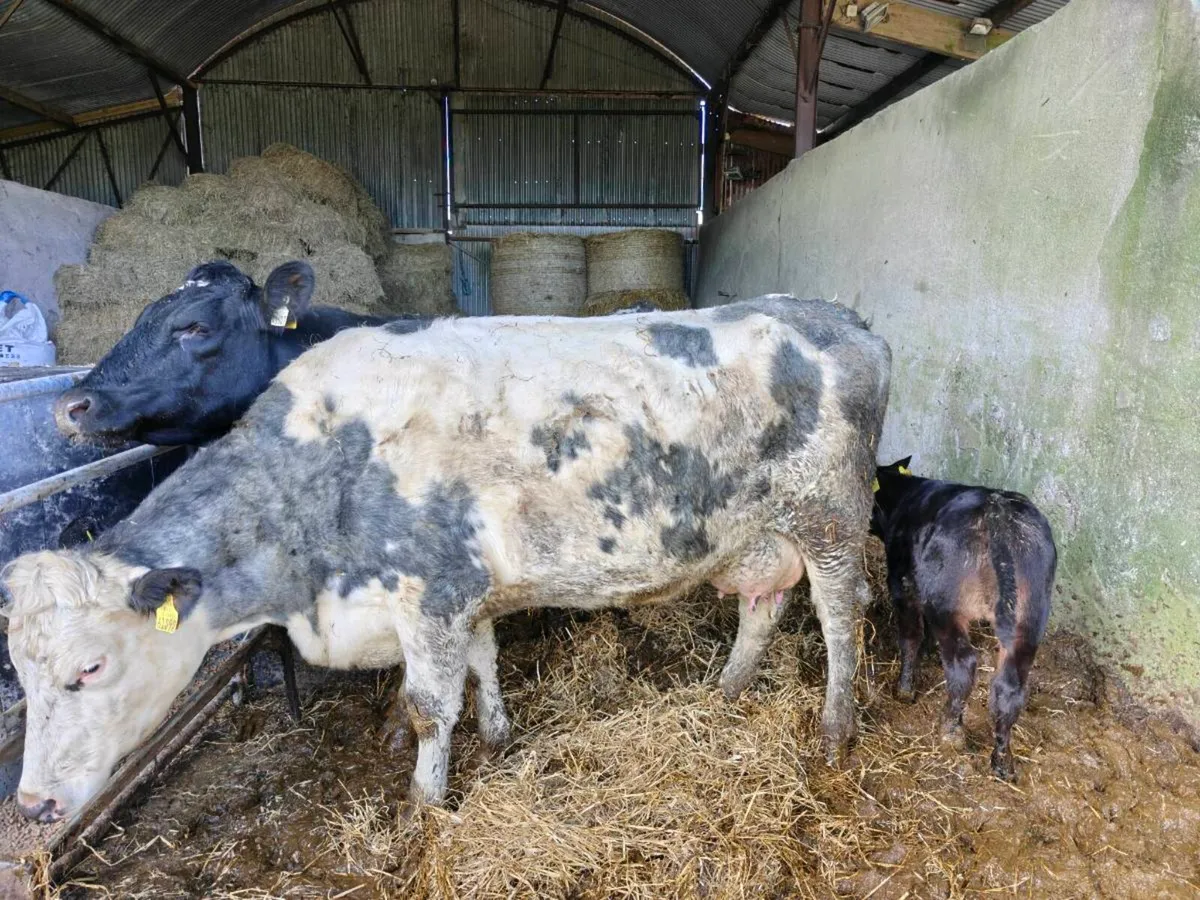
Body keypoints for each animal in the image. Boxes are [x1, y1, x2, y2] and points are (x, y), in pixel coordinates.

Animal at [4, 291, 890, 820]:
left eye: (88, 667)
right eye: (19, 672)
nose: (34, 805)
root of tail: (831, 313)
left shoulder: (426, 591)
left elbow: (429, 705)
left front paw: (426, 807)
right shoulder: (466, 590)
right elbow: (484, 660)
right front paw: (497, 732)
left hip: (832, 520)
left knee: (840, 622)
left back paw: (836, 728)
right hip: (760, 534)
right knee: (762, 608)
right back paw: (727, 690)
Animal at [869, 457, 1056, 781]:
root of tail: (998, 512)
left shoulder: (902, 583)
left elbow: (910, 637)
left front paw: (905, 689)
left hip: (947, 605)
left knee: (963, 665)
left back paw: (951, 730)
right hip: (1030, 617)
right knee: (1010, 686)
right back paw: (1002, 760)